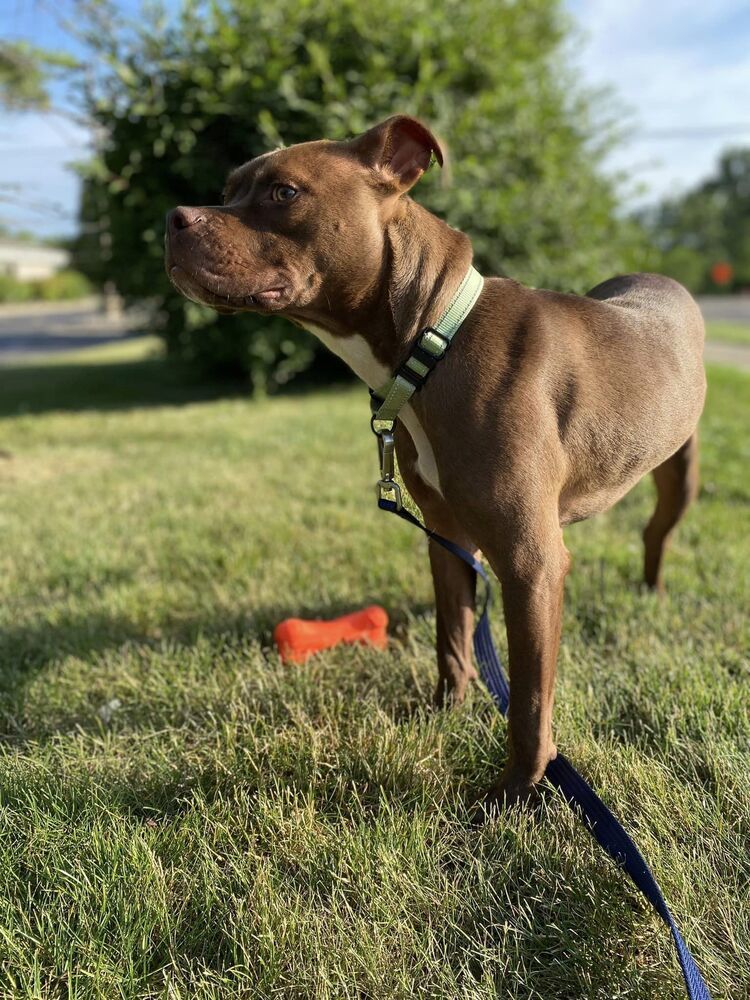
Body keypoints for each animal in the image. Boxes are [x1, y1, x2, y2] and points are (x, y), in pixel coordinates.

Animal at [163, 117, 704, 804]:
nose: (174, 218)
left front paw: (515, 794)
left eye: (284, 193)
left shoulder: (530, 564)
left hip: (680, 472)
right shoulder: (447, 538)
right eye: (227, 190)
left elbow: (530, 700)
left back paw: (653, 590)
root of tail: (665, 280)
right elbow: (453, 636)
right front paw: (446, 714)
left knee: (657, 532)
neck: (433, 345)